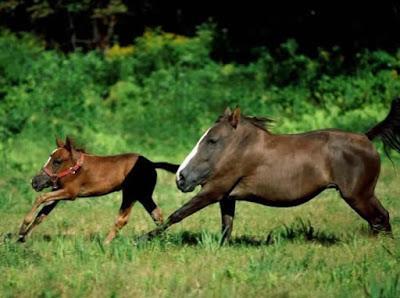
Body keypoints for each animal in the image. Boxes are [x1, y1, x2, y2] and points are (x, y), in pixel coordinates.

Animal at [18, 137, 178, 244]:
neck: (77, 168)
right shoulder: (59, 193)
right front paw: (22, 237)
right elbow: (42, 214)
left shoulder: (70, 193)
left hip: (130, 194)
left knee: (122, 219)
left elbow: (41, 197)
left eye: (57, 161)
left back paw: (105, 243)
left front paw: (22, 228)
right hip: (144, 195)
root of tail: (151, 163)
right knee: (157, 215)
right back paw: (164, 239)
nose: (35, 182)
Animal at [144, 99, 400, 243]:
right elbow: (226, 228)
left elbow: (177, 215)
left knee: (381, 218)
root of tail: (366, 138)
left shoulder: (214, 191)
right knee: (379, 220)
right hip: (362, 196)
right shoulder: (226, 197)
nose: (181, 178)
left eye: (212, 140)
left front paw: (142, 239)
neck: (242, 149)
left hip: (358, 195)